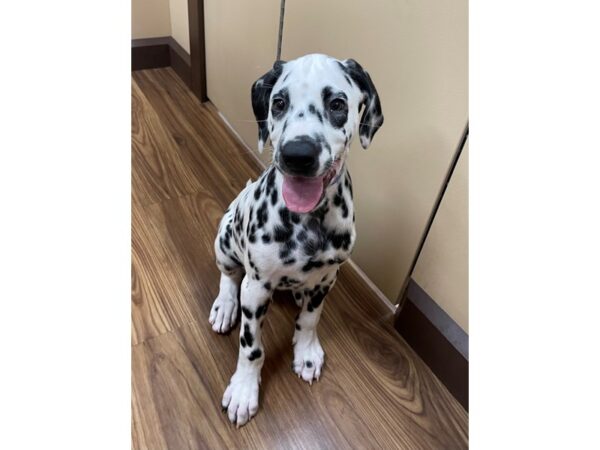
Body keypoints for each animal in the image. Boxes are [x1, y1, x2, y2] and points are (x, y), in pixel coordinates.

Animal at [209, 52, 382, 426]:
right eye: (278, 103)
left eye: (337, 104)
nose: (298, 155)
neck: (309, 221)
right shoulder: (256, 288)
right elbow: (251, 347)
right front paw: (244, 389)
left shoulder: (329, 277)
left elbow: (311, 319)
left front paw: (306, 352)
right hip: (225, 240)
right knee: (228, 277)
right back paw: (225, 306)